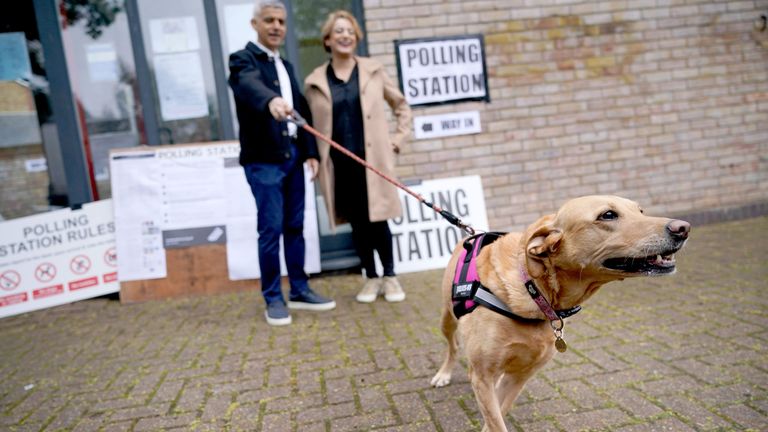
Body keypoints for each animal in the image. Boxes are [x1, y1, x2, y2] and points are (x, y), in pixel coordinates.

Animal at [432, 196, 688, 432]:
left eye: (641, 211)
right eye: (607, 215)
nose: (683, 228)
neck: (534, 291)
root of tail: (468, 234)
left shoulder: (520, 376)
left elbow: (498, 415)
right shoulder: (482, 376)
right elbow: (495, 421)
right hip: (446, 320)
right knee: (453, 347)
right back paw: (443, 373)